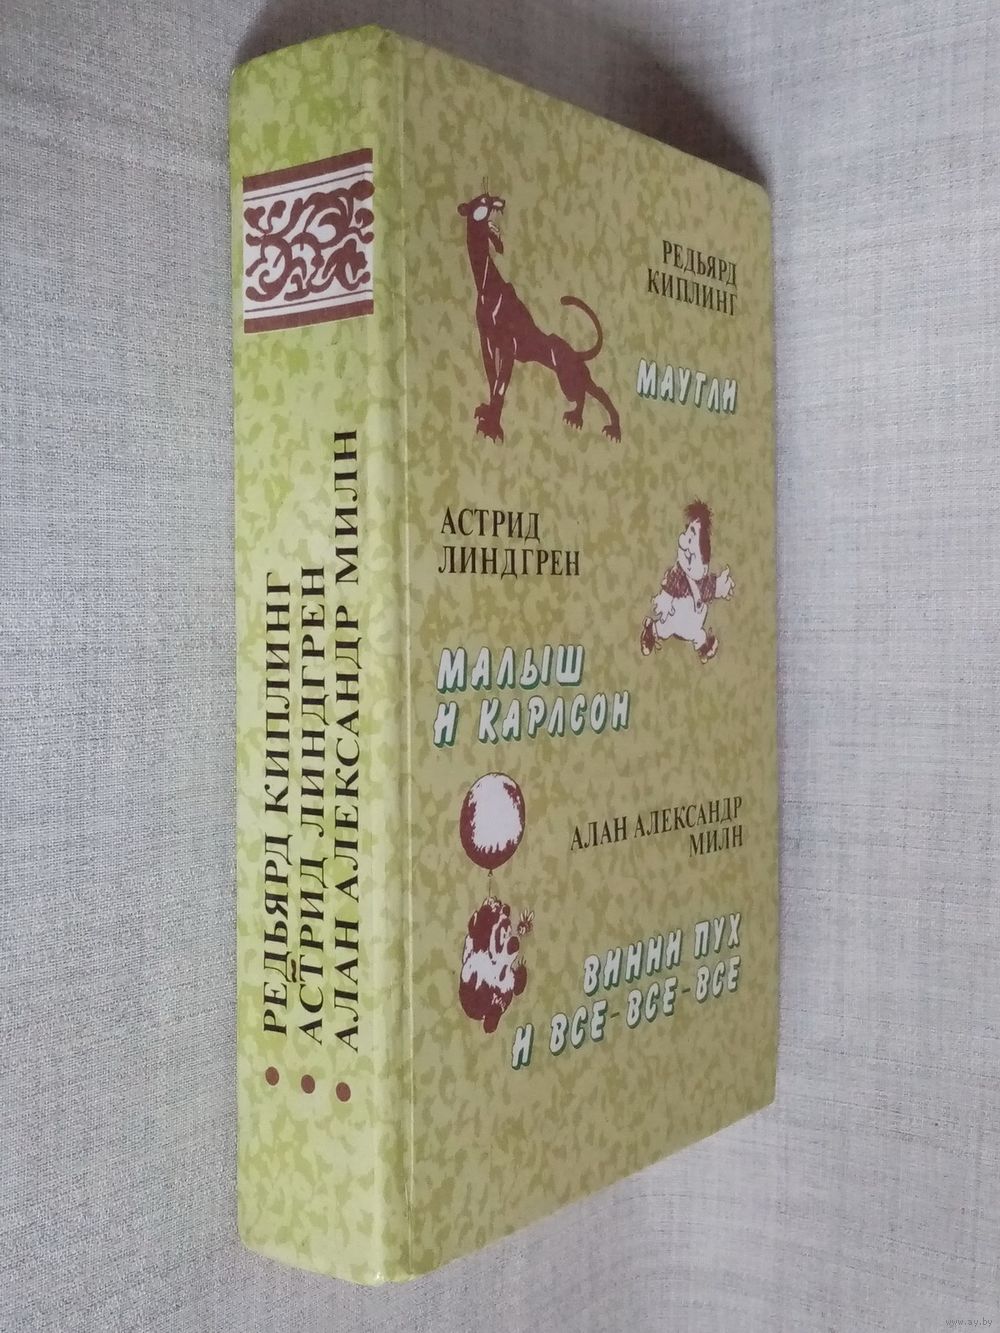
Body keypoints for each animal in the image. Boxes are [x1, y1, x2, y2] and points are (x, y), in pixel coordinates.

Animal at [458, 192, 621, 444]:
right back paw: (577, 418)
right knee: (584, 394)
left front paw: (493, 427)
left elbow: (500, 387)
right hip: (569, 379)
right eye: (483, 200)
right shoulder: (487, 342)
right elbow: (492, 380)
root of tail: (576, 353)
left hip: (568, 377)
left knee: (596, 391)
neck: (486, 286)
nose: (500, 200)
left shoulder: (508, 347)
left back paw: (611, 429)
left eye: (490, 197)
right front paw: (486, 413)